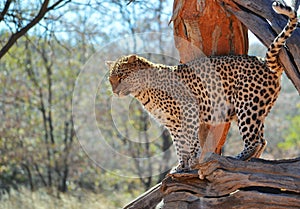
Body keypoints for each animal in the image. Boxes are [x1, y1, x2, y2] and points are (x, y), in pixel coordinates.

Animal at [106, 1, 298, 173]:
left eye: (121, 76)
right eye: (111, 79)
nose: (115, 91)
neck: (142, 92)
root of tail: (264, 62)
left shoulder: (189, 110)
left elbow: (191, 140)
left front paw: (193, 161)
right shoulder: (173, 123)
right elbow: (179, 144)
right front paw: (181, 166)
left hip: (247, 106)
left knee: (254, 140)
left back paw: (238, 158)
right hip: (256, 108)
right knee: (262, 140)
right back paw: (252, 161)